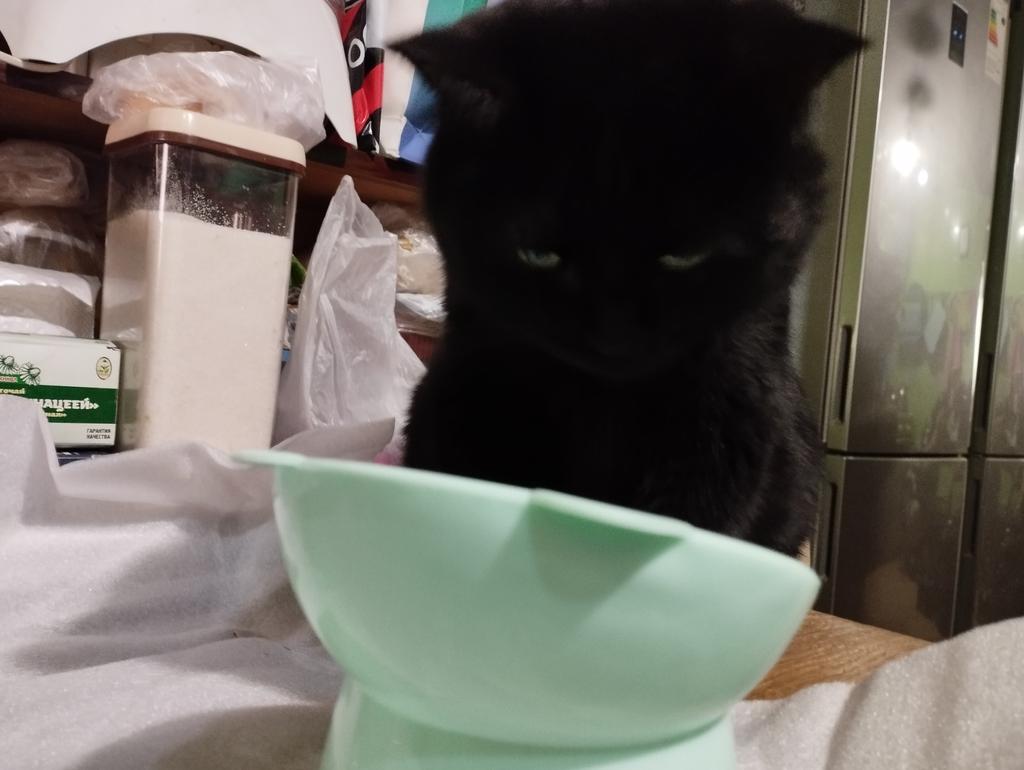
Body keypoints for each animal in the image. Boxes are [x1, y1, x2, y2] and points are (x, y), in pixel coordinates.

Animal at [394, 0, 862, 556]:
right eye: (537, 254)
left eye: (686, 254)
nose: (613, 336)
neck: (605, 404)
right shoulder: (474, 384)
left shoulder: (733, 411)